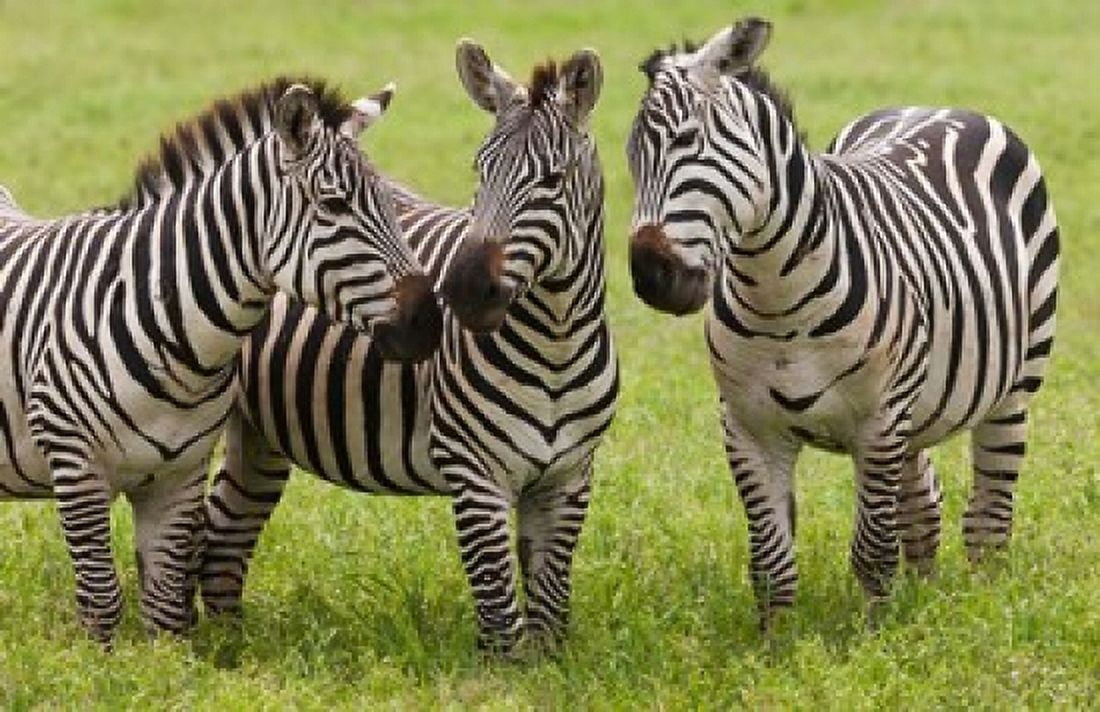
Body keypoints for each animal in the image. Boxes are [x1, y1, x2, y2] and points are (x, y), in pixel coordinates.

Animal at [0, 76, 442, 643]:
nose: (429, 323)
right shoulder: (74, 462)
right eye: (334, 204)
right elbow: (101, 602)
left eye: (391, 202)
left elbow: (165, 609)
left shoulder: (180, 475)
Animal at [200, 40, 618, 654]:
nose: (462, 291)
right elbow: (500, 613)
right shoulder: (474, 472)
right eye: (478, 169)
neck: (556, 343)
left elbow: (549, 610)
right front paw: (502, 672)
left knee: (226, 529)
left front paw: (550, 666)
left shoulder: (568, 479)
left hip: (260, 433)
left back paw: (227, 646)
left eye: (552, 179)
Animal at [626, 18, 1060, 627]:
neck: (778, 300)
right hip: (916, 409)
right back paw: (925, 593)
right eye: (631, 153)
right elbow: (771, 560)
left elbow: (872, 549)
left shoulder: (879, 419)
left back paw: (984, 604)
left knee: (989, 516)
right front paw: (778, 640)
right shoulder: (746, 426)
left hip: (1011, 390)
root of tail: (939, 105)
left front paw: (873, 632)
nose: (652, 276)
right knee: (924, 502)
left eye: (689, 141)